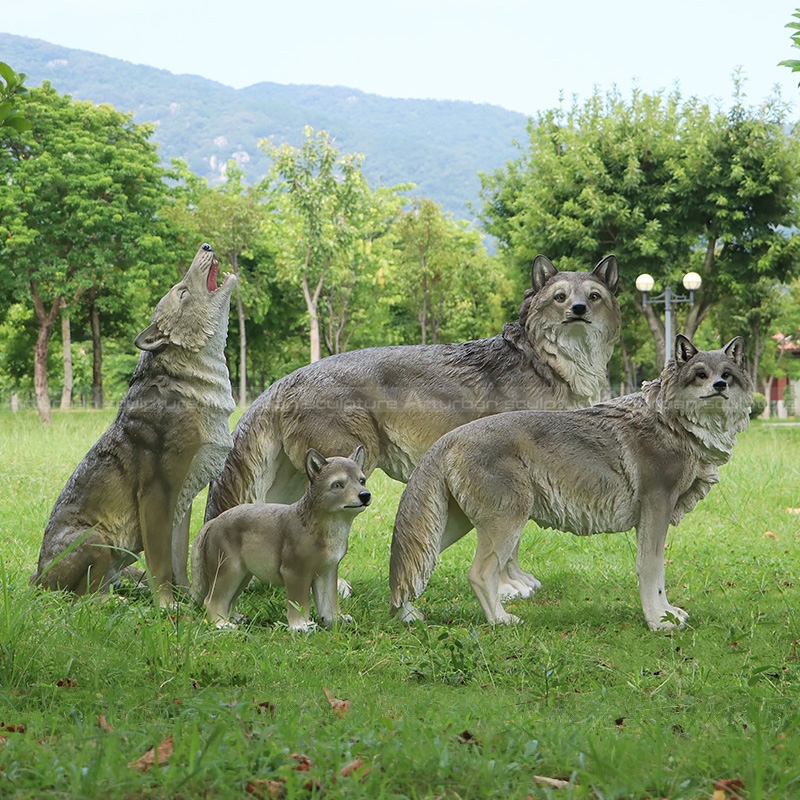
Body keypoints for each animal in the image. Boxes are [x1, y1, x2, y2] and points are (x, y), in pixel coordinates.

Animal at [32, 243, 237, 608]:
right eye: (183, 292)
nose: (206, 246)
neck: (192, 385)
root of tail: (36, 578)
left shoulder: (183, 498)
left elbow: (178, 558)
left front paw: (189, 599)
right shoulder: (156, 491)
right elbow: (160, 560)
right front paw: (168, 605)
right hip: (97, 540)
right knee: (81, 598)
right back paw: (116, 602)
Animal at [191, 447, 371, 631]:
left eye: (361, 481)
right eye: (338, 484)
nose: (365, 495)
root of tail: (213, 522)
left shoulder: (326, 571)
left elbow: (329, 602)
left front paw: (335, 621)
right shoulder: (295, 572)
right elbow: (299, 603)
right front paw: (301, 626)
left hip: (243, 574)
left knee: (229, 599)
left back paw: (236, 619)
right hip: (229, 571)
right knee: (212, 600)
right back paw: (221, 624)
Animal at [205, 254, 621, 597]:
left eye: (593, 296)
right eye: (560, 297)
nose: (579, 310)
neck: (545, 363)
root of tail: (285, 379)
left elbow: (512, 542)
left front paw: (517, 581)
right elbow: (506, 540)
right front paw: (507, 588)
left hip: (289, 484)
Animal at [389, 336, 753, 631]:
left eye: (726, 376)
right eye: (700, 374)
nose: (719, 386)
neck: (672, 423)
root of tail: (449, 438)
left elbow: (658, 572)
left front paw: (666, 614)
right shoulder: (656, 508)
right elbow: (651, 569)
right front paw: (657, 622)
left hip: (452, 528)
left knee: (412, 567)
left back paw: (407, 615)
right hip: (506, 525)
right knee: (478, 574)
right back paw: (501, 621)